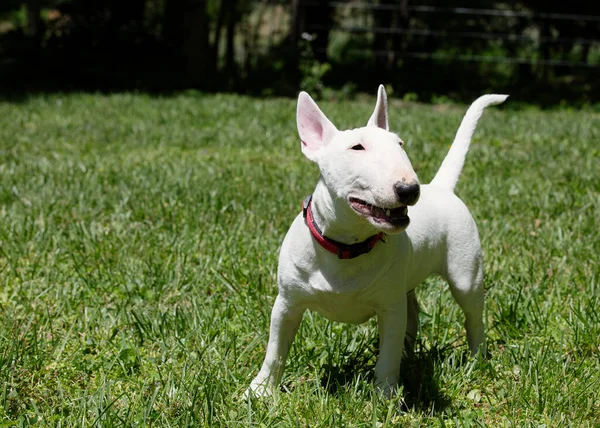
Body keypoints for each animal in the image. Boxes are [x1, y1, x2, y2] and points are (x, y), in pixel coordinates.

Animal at [248, 87, 506, 398]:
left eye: (400, 144)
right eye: (356, 148)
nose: (409, 189)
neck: (347, 246)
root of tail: (441, 187)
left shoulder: (389, 307)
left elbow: (387, 355)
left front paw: (385, 396)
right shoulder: (287, 303)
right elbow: (275, 349)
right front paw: (259, 390)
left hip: (466, 275)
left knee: (472, 317)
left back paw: (477, 359)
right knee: (413, 314)